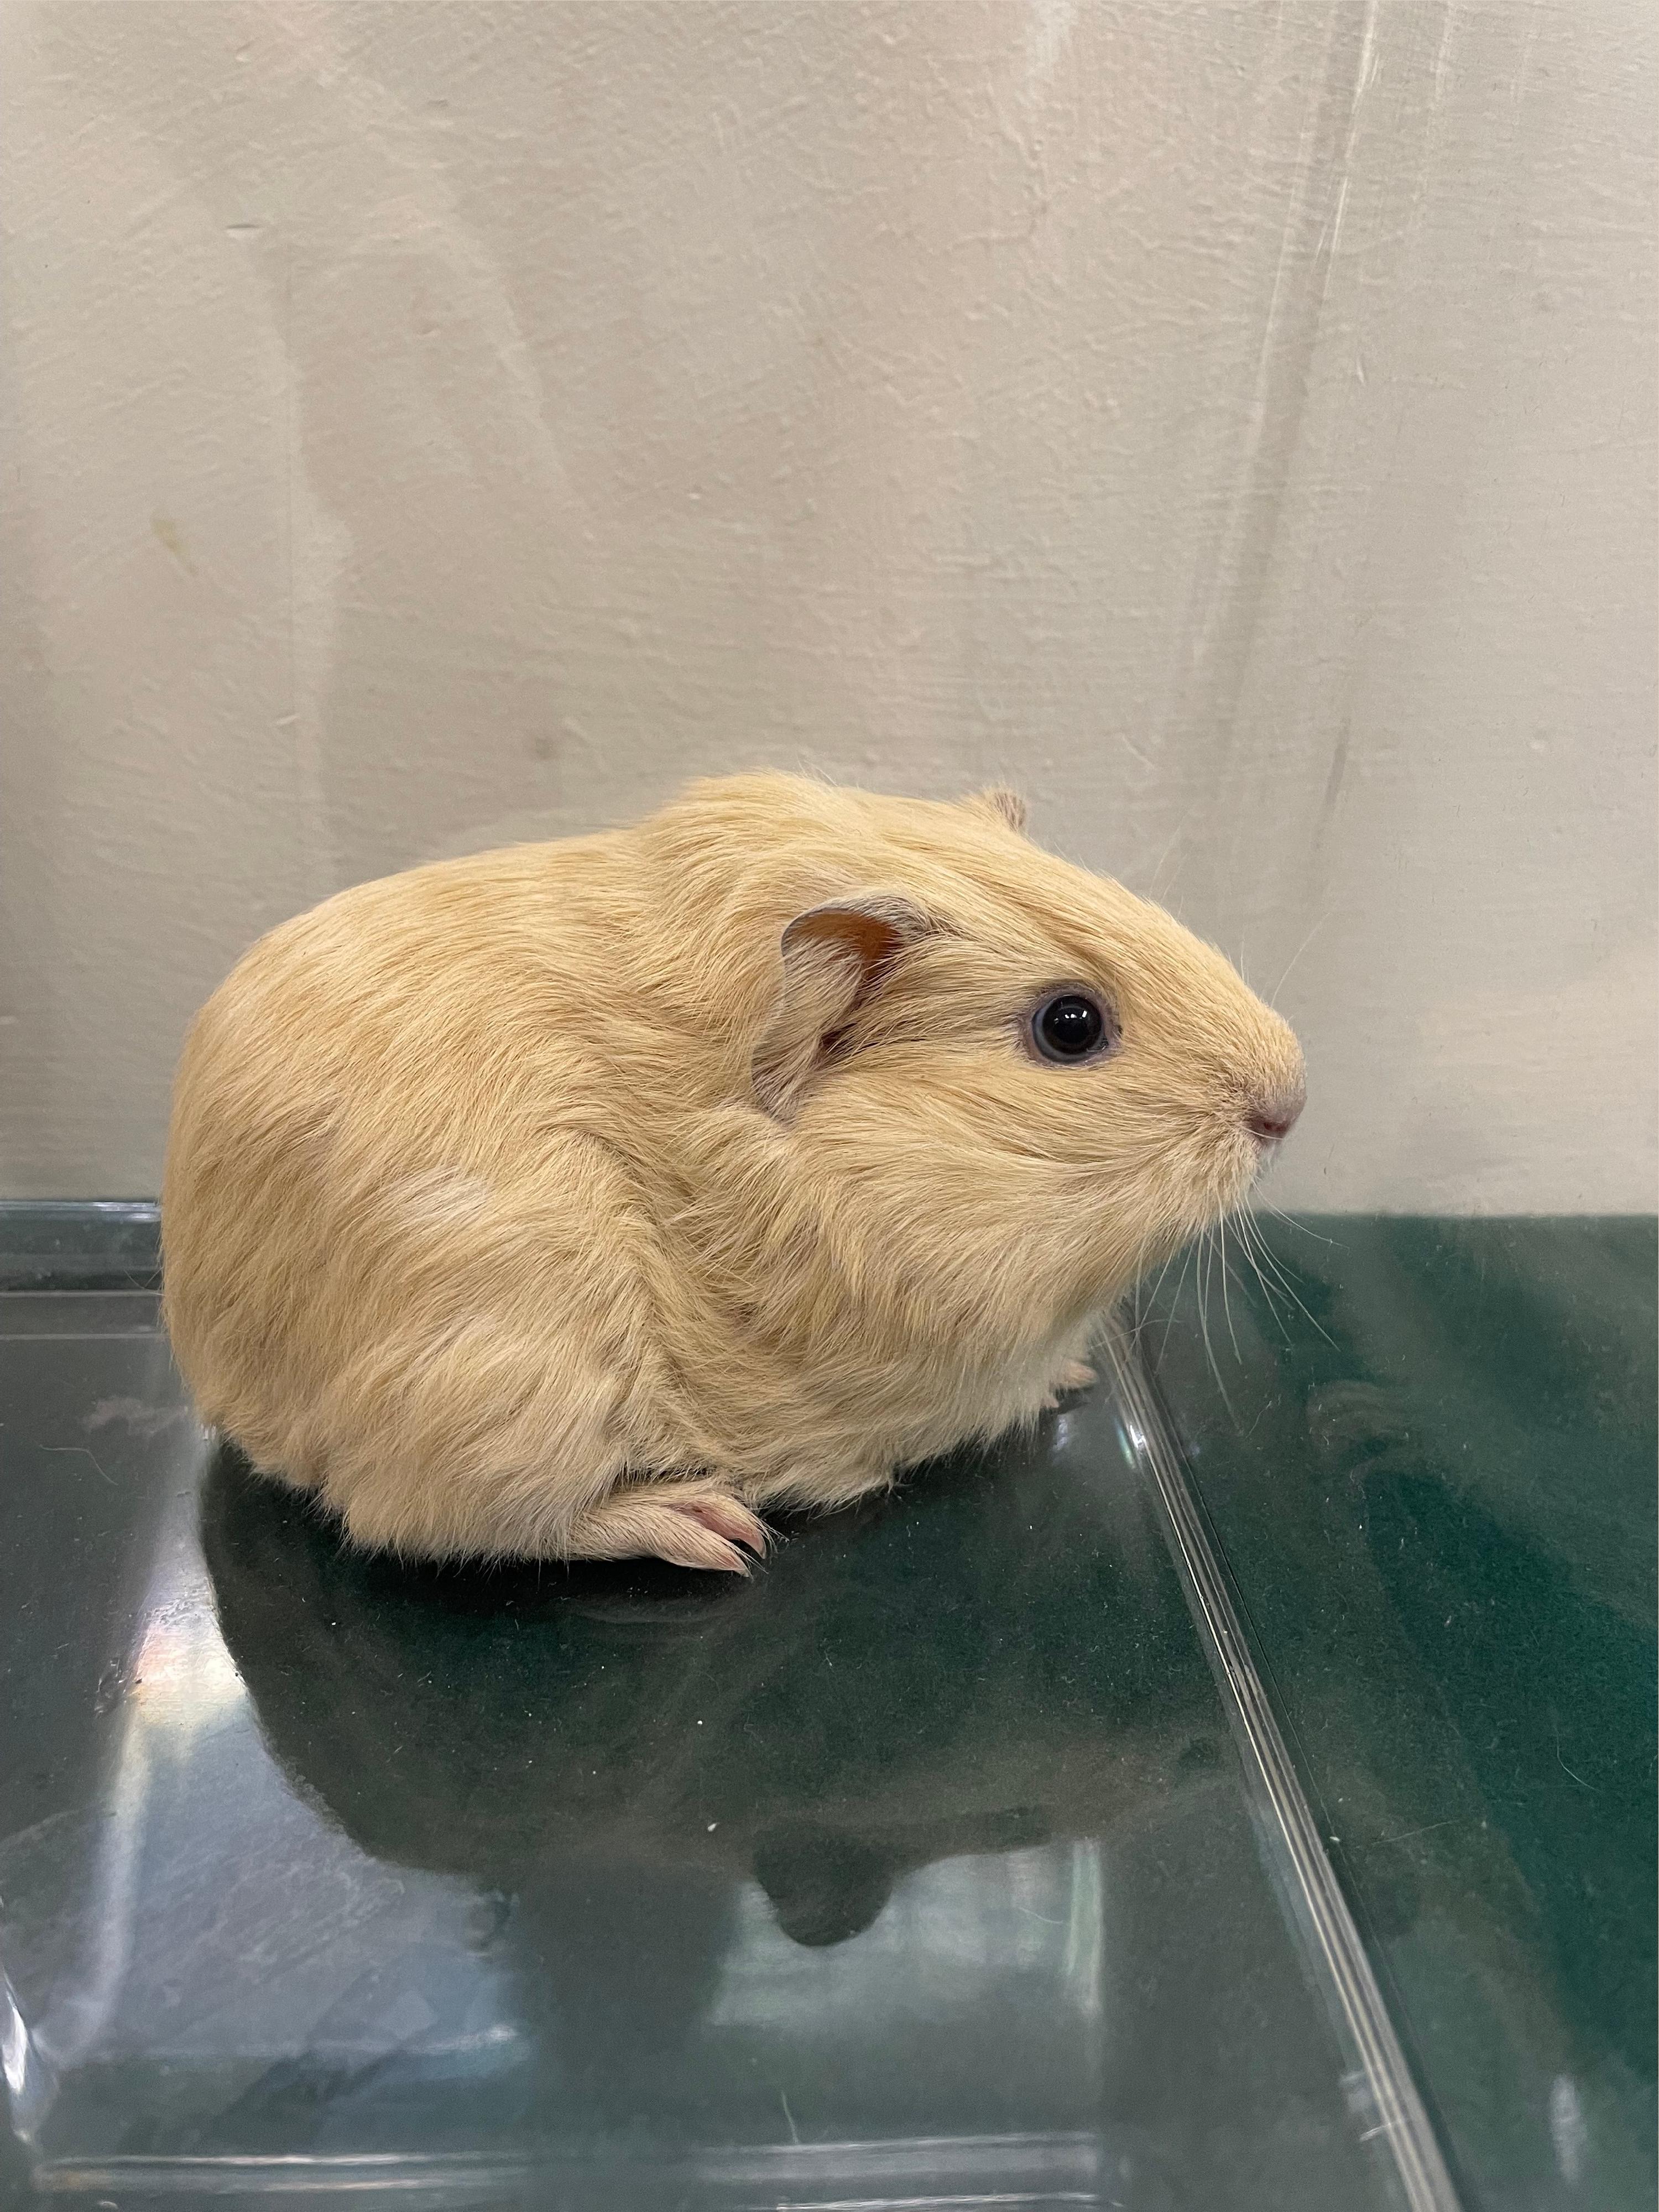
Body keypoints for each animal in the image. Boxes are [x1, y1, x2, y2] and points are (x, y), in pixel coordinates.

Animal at [162, 773, 1304, 1571]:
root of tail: (224, 1372)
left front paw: (1073, 1375)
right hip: (513, 1387)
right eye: (1070, 1025)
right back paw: (711, 1530)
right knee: (430, 1523)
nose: (1288, 1100)